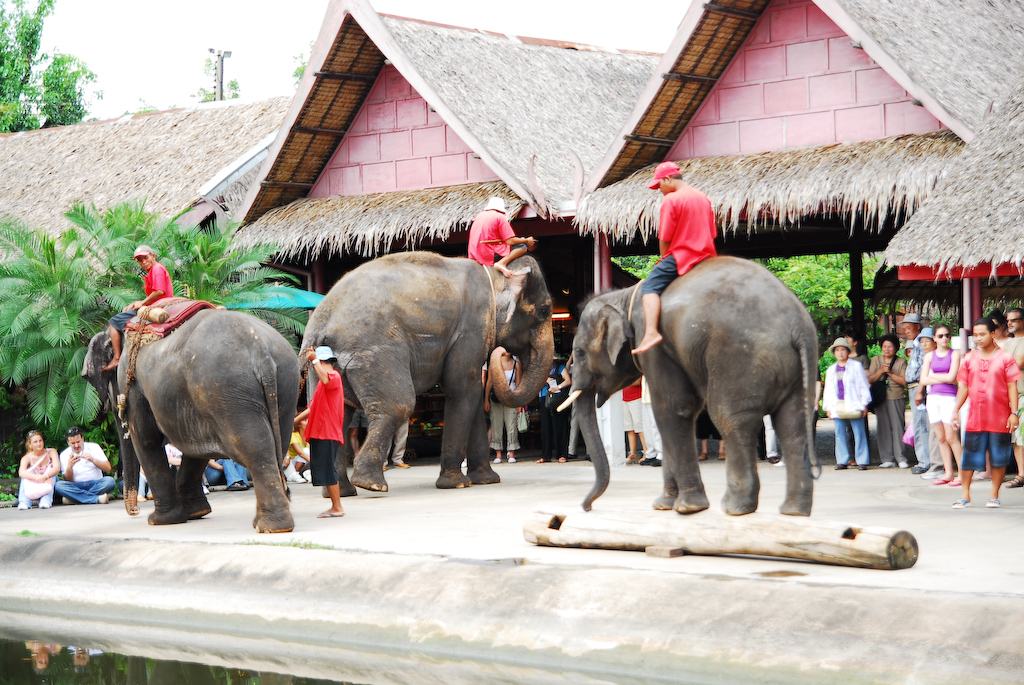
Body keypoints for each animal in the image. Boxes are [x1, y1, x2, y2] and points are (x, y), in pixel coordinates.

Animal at [81, 307, 299, 532]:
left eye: (90, 377)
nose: (134, 511)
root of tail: (260, 349)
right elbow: (195, 447)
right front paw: (196, 512)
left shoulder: (132, 381)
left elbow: (147, 440)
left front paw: (160, 520)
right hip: (285, 381)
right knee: (277, 444)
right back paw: (269, 523)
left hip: (226, 388)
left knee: (254, 448)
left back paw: (271, 526)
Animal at [299, 250, 557, 491]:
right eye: (544, 311)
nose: (502, 353)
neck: (495, 275)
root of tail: (320, 325)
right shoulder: (471, 329)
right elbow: (462, 389)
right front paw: (456, 484)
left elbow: (472, 394)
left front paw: (486, 480)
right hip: (374, 353)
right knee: (398, 406)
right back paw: (370, 484)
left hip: (323, 365)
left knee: (338, 413)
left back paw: (342, 490)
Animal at [565, 254, 819, 511]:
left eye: (579, 352)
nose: (587, 507)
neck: (624, 295)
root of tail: (799, 327)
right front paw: (664, 505)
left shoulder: (653, 344)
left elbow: (673, 409)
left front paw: (688, 507)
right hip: (795, 370)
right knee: (792, 424)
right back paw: (793, 511)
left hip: (740, 357)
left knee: (732, 420)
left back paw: (735, 508)